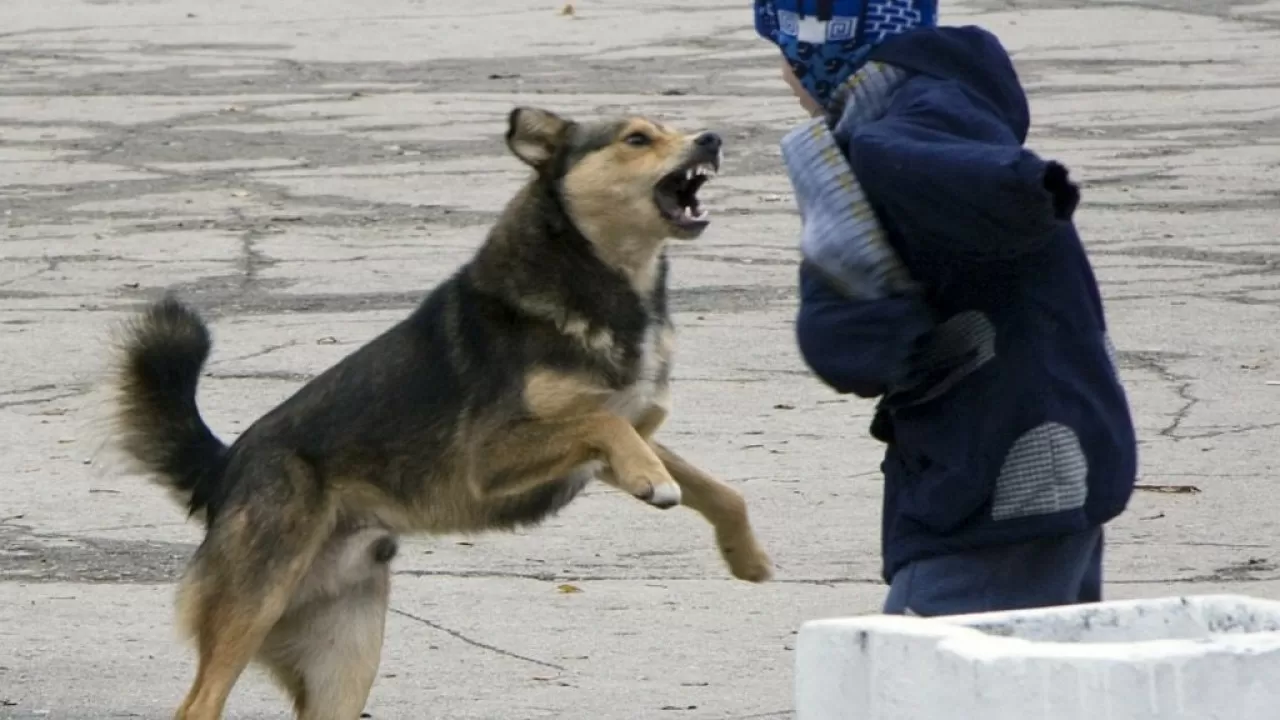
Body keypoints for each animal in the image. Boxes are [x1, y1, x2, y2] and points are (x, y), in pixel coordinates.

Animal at [110, 106, 768, 717]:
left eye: (673, 127)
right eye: (637, 138)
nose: (711, 139)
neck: (602, 278)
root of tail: (225, 469)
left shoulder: (619, 440)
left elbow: (720, 489)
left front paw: (747, 556)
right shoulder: (493, 457)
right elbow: (602, 422)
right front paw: (654, 483)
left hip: (344, 657)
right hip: (256, 599)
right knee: (198, 703)